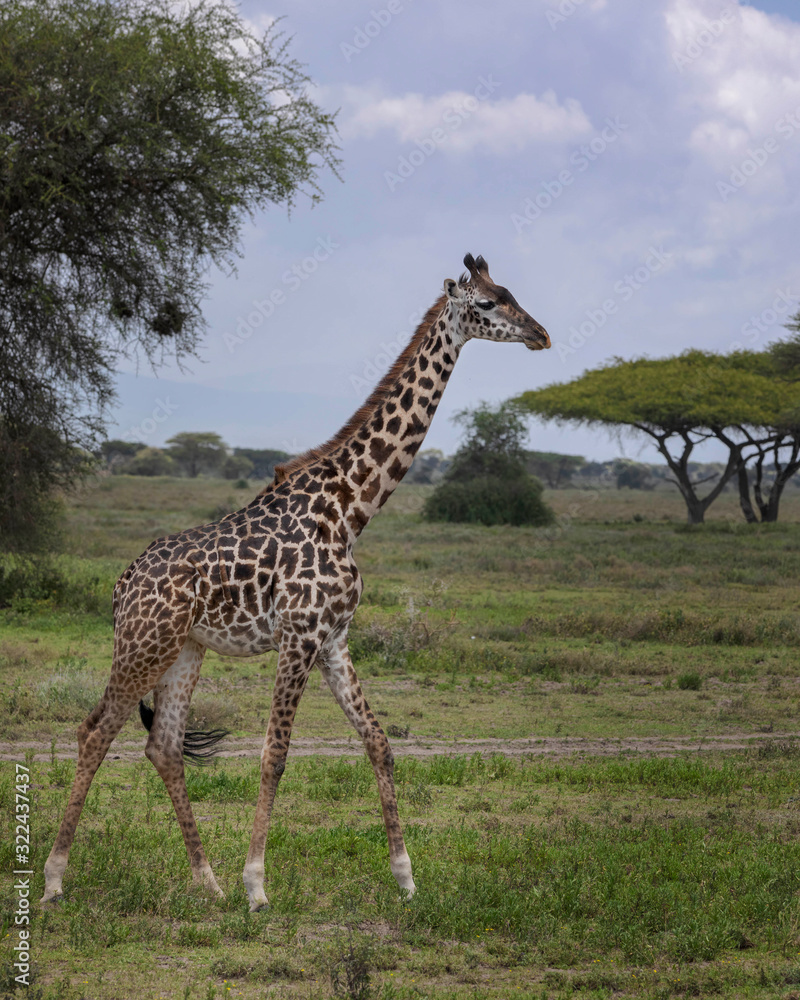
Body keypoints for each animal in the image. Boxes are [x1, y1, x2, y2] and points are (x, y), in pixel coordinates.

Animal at [41, 253, 550, 912]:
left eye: (511, 292)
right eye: (488, 303)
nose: (541, 334)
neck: (353, 507)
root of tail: (121, 585)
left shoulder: (334, 639)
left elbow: (378, 742)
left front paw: (406, 877)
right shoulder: (300, 635)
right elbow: (275, 753)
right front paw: (257, 885)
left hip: (185, 650)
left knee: (164, 745)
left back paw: (206, 882)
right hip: (142, 644)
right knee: (95, 730)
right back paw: (55, 879)